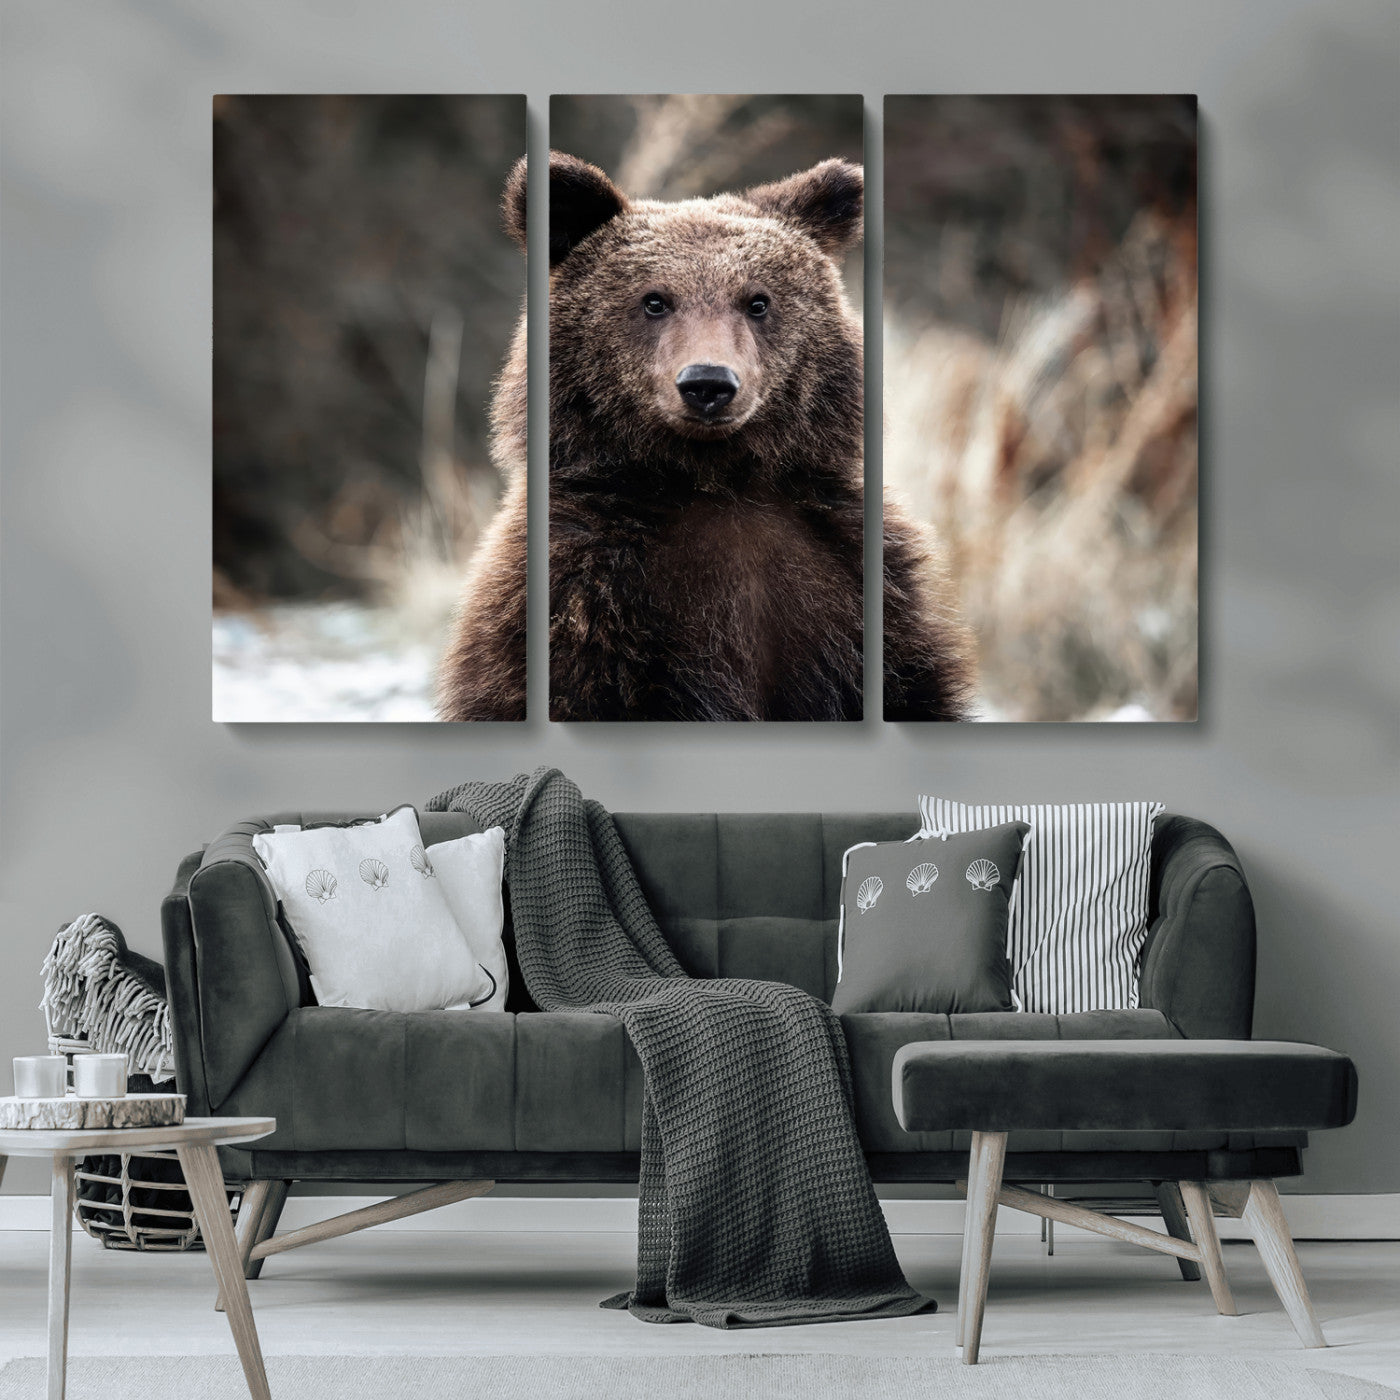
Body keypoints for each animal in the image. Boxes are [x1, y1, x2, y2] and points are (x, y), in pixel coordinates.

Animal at [437, 151, 973, 722]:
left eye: (757, 301)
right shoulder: (583, 598)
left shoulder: (855, 586)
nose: (708, 383)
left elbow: (911, 687)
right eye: (654, 301)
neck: (715, 480)